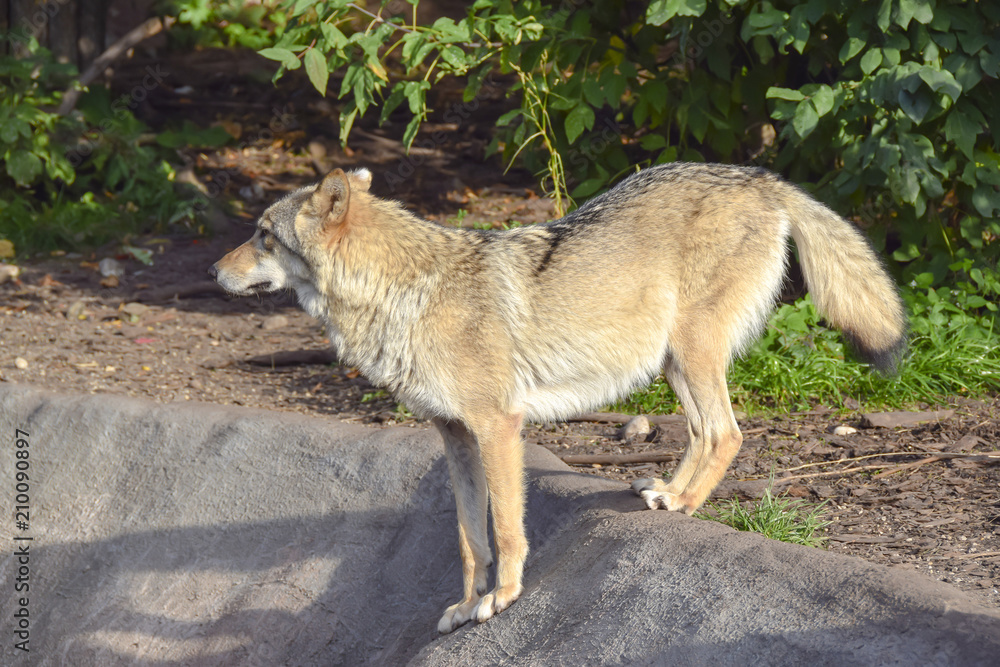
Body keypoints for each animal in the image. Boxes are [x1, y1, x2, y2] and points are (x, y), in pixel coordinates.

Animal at [209, 162, 907, 633]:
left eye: (263, 236)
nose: (214, 271)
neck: (405, 293)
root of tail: (762, 178)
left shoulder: (498, 427)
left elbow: (507, 531)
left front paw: (504, 597)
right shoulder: (455, 438)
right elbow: (471, 539)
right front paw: (468, 604)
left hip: (691, 352)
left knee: (729, 432)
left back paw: (680, 502)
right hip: (673, 363)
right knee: (707, 432)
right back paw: (665, 493)